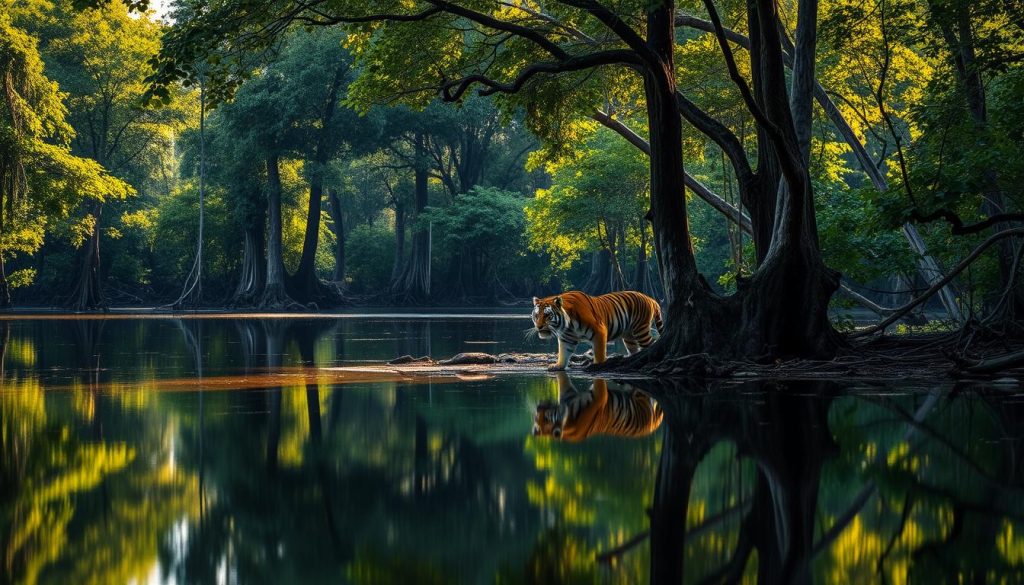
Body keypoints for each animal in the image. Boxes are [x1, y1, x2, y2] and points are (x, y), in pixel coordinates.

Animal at [531, 290, 663, 371]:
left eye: (547, 315)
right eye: (537, 316)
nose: (539, 327)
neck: (567, 325)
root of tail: (650, 299)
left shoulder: (599, 331)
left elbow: (599, 352)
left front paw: (597, 365)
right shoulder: (566, 338)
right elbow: (564, 353)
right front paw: (558, 366)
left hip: (641, 330)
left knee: (650, 345)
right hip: (629, 336)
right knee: (634, 350)